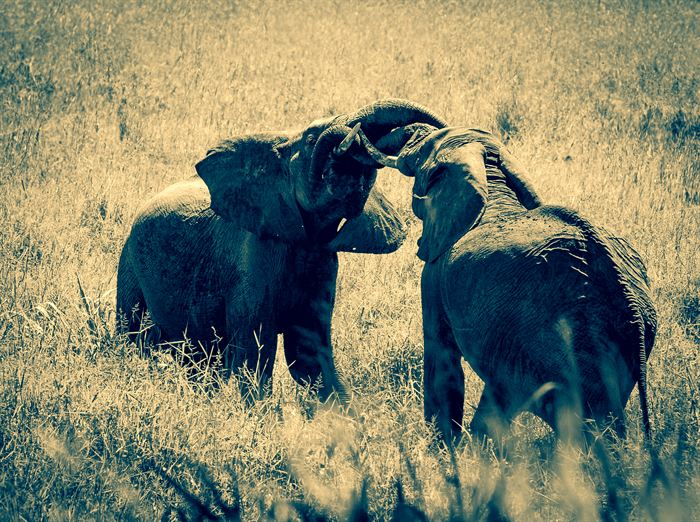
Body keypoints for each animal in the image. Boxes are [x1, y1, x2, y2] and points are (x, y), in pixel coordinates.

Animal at [116, 99, 446, 403]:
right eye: (312, 139)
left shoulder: (322, 262)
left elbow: (309, 357)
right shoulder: (253, 264)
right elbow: (255, 356)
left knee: (199, 360)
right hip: (129, 261)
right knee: (133, 335)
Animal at [366, 125, 656, 443]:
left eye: (421, 155)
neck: (491, 184)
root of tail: (628, 301)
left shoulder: (433, 276)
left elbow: (441, 360)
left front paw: (443, 450)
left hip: (549, 344)